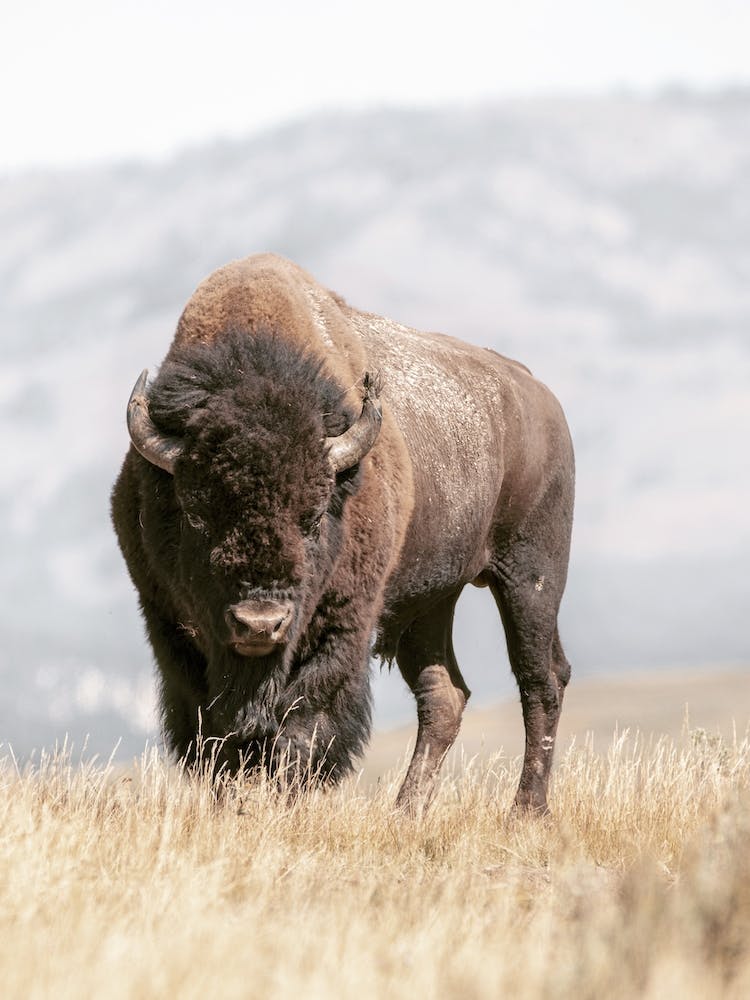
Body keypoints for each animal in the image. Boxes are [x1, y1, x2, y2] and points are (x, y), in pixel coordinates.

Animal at [111, 254, 574, 812]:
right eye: (197, 516)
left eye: (312, 518)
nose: (260, 624)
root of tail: (539, 395)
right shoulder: (169, 624)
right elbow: (212, 737)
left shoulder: (343, 623)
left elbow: (303, 724)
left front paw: (285, 803)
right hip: (430, 602)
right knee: (444, 695)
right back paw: (406, 810)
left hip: (530, 577)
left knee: (540, 680)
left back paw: (526, 811)